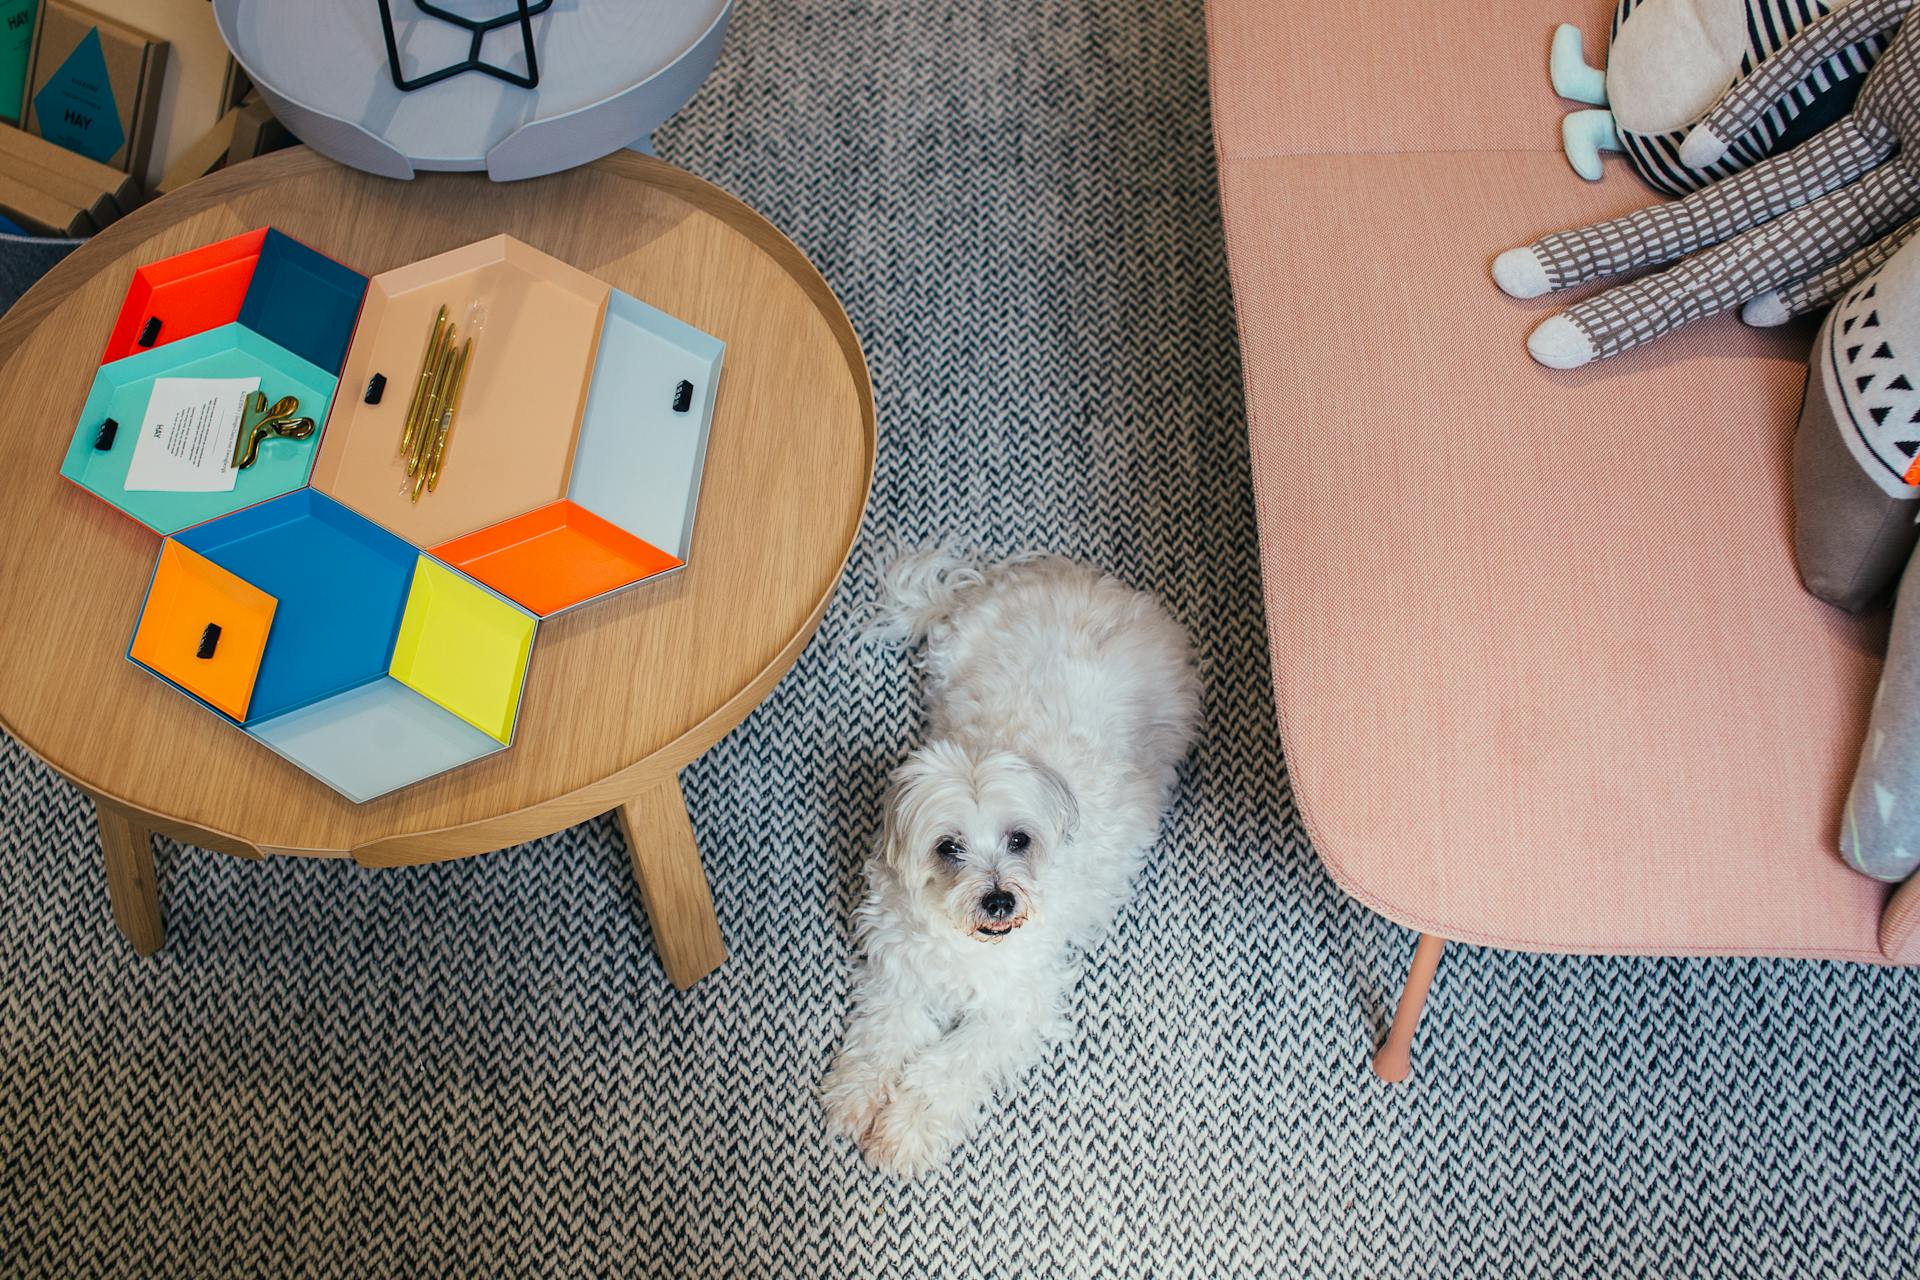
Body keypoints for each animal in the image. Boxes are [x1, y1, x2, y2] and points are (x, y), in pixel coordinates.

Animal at [825, 552, 1198, 1182]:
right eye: (948, 847)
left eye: (1019, 839)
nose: (999, 900)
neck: (966, 943)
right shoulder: (900, 973)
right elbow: (882, 1034)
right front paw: (857, 1093)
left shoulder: (1013, 1009)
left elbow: (948, 1068)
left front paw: (905, 1132)